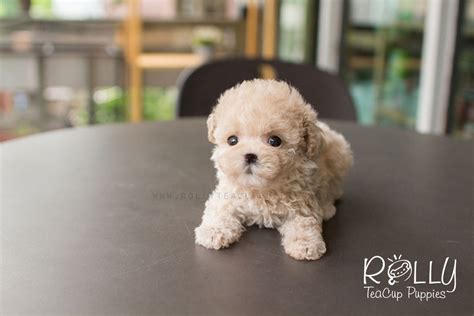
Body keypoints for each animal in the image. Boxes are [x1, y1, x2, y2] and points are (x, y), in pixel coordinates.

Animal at [194, 78, 354, 260]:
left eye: (275, 141)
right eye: (232, 140)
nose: (250, 156)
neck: (260, 189)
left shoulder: (302, 202)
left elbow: (304, 221)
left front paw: (305, 244)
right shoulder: (227, 195)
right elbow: (218, 210)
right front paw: (213, 231)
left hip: (340, 155)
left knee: (334, 186)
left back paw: (327, 206)